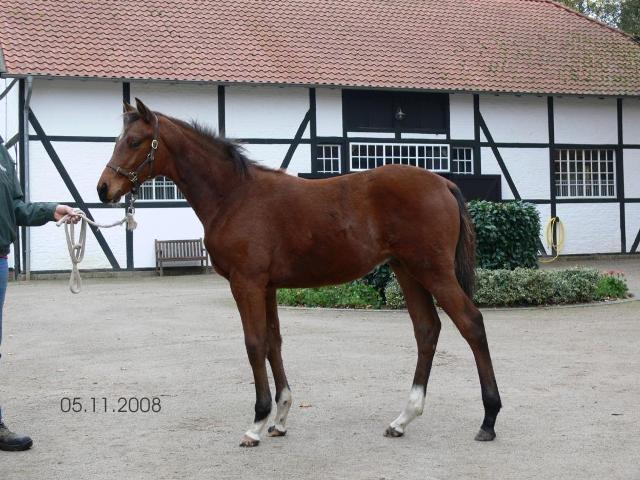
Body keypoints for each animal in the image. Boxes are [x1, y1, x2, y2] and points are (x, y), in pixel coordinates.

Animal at [97, 98, 502, 448]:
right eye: (117, 139)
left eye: (134, 141)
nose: (103, 189)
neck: (235, 196)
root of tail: (443, 182)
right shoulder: (268, 286)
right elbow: (273, 343)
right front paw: (280, 418)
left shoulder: (246, 283)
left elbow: (254, 344)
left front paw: (257, 422)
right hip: (407, 271)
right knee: (427, 329)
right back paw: (403, 419)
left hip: (432, 271)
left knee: (471, 323)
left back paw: (488, 419)